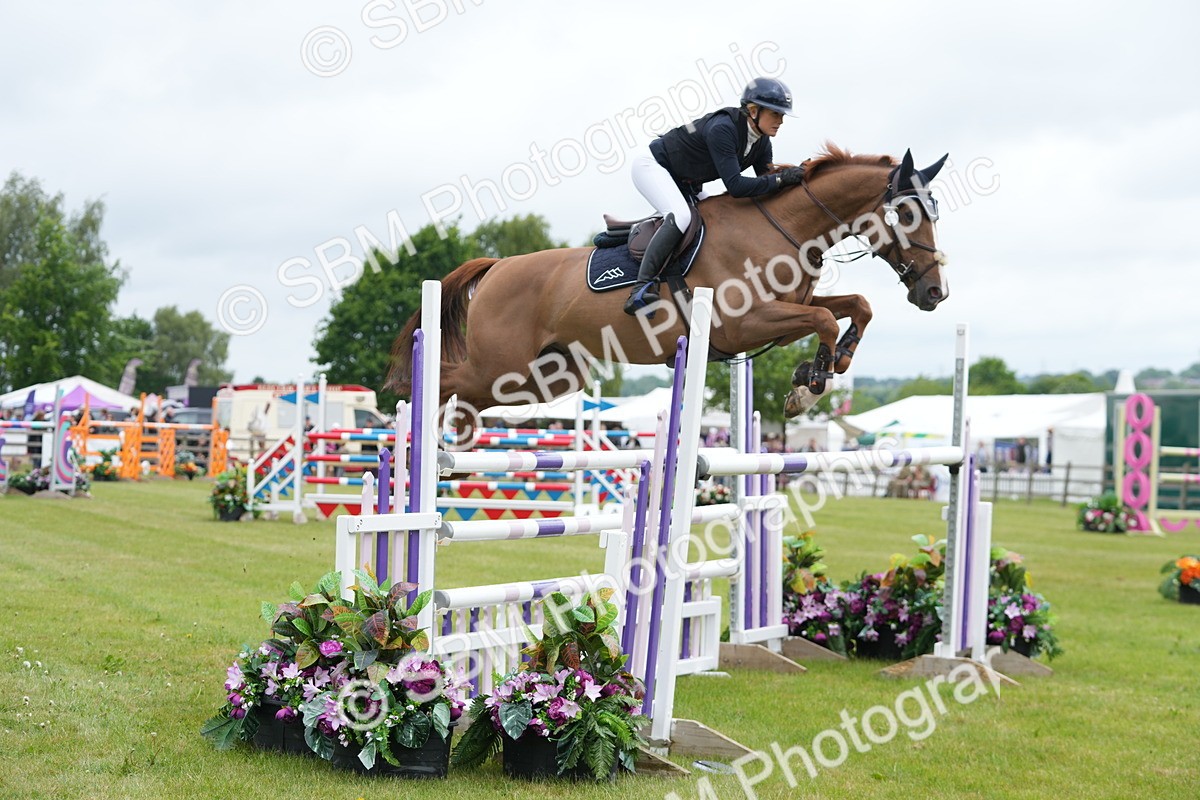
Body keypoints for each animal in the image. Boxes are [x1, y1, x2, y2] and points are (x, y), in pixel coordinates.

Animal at [387, 144, 950, 421]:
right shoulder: (744, 324)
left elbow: (852, 306)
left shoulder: (780, 315)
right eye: (907, 213)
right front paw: (809, 388)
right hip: (502, 368)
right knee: (445, 382)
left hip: (545, 378)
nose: (934, 293)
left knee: (467, 396)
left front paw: (827, 369)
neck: (784, 226)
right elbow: (824, 318)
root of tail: (498, 267)